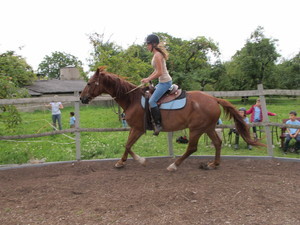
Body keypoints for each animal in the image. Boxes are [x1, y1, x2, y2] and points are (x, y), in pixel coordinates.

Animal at [81, 66, 264, 171]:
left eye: (89, 83)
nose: (82, 98)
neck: (132, 99)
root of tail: (213, 99)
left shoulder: (138, 129)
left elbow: (127, 145)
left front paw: (139, 161)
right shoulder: (134, 128)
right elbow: (127, 145)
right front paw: (122, 162)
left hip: (196, 129)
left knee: (192, 148)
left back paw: (174, 165)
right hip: (208, 127)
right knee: (218, 143)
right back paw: (213, 164)